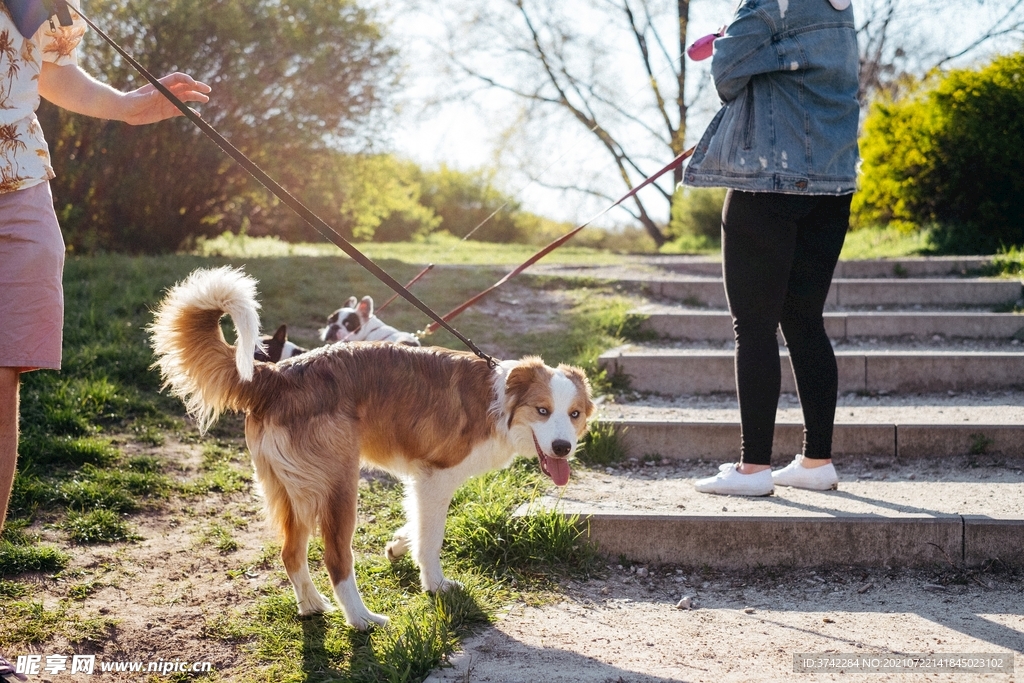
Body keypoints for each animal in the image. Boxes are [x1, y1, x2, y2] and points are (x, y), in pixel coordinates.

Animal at [149, 266, 598, 630]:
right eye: (542, 410)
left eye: (574, 414)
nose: (562, 448)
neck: (500, 401)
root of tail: (277, 375)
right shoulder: (435, 476)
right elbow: (431, 538)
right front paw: (435, 585)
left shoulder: (422, 480)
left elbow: (417, 525)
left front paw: (398, 545)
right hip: (338, 486)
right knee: (335, 558)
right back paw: (361, 619)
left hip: (293, 492)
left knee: (290, 553)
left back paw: (312, 606)